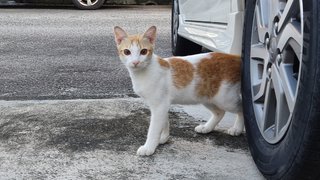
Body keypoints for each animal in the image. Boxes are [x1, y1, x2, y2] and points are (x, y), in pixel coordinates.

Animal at [112, 25, 242, 156]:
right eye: (127, 52)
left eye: (143, 51)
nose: (135, 62)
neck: (142, 73)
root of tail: (235, 57)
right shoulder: (162, 104)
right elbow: (164, 122)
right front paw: (163, 138)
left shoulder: (159, 105)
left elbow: (154, 128)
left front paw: (149, 147)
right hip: (206, 95)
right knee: (220, 112)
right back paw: (207, 128)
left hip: (225, 99)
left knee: (240, 109)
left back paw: (237, 128)